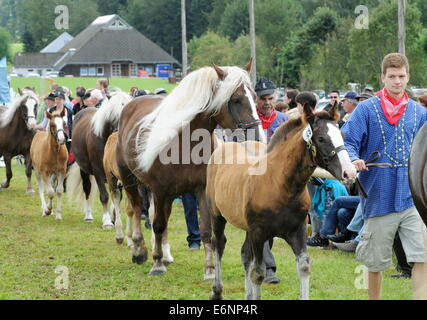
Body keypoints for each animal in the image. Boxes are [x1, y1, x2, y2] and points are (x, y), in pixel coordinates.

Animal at [67, 91, 132, 229]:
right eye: (113, 113)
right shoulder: (98, 171)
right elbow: (104, 196)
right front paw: (107, 221)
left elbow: (117, 196)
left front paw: (114, 218)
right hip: (84, 170)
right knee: (87, 188)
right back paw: (88, 215)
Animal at [115, 61, 266, 278]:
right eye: (236, 100)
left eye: (254, 98)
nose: (258, 138)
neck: (185, 142)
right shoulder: (160, 190)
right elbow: (158, 224)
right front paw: (156, 264)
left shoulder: (201, 190)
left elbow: (205, 230)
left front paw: (210, 269)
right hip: (130, 180)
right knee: (137, 209)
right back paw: (139, 250)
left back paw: (165, 254)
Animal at [206, 103, 358, 300]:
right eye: (322, 138)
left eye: (342, 136)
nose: (350, 173)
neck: (280, 184)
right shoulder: (258, 232)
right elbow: (258, 273)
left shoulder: (297, 230)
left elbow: (304, 267)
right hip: (217, 215)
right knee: (219, 244)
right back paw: (216, 290)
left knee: (244, 254)